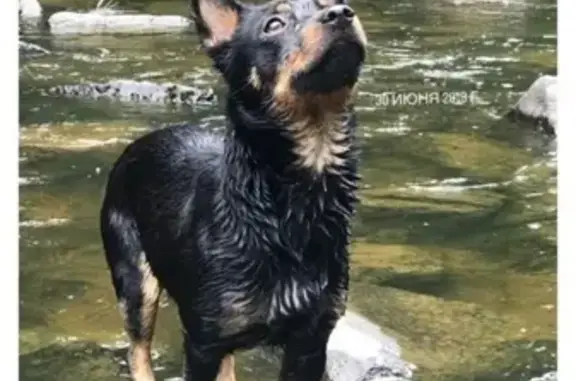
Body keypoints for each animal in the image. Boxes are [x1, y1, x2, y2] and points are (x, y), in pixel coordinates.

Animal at [99, 0, 366, 378]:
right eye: (274, 24)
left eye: (332, 3)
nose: (342, 13)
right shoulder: (203, 342)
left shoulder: (311, 340)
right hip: (135, 280)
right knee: (138, 353)